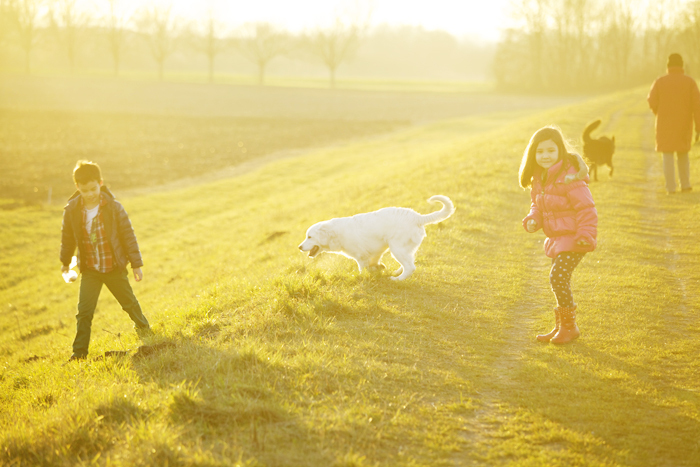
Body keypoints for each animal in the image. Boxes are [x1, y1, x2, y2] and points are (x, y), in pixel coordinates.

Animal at [296, 195, 454, 280]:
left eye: (309, 236)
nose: (299, 247)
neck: (335, 233)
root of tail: (417, 217)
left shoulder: (360, 256)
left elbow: (362, 269)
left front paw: (362, 277)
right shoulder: (375, 251)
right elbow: (374, 262)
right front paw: (377, 268)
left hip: (397, 247)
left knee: (410, 267)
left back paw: (397, 279)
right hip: (405, 248)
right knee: (409, 262)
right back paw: (397, 272)